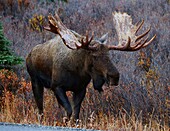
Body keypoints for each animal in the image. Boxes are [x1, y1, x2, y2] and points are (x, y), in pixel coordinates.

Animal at [25, 11, 156, 121]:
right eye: (94, 56)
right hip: (35, 80)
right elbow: (69, 110)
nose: (115, 76)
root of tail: (29, 54)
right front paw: (65, 121)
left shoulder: (80, 89)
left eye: (109, 54)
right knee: (40, 108)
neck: (78, 71)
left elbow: (76, 114)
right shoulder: (57, 86)